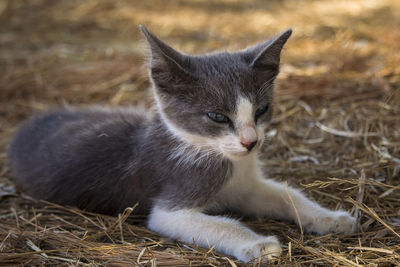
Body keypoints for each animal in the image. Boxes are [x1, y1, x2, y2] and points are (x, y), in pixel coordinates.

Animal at [7, 26, 356, 262]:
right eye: (217, 116)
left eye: (261, 110)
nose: (250, 142)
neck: (223, 159)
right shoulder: (170, 204)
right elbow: (217, 224)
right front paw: (257, 244)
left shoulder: (246, 186)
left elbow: (286, 195)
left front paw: (330, 218)